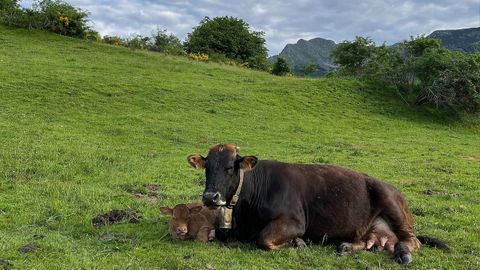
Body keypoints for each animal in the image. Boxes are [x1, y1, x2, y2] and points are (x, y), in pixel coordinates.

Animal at [187, 144, 446, 264]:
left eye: (230, 167)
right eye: (207, 167)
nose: (210, 197)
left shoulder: (294, 222)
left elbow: (264, 239)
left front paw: (298, 243)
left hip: (392, 205)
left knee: (411, 240)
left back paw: (403, 253)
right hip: (369, 228)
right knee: (370, 241)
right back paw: (347, 247)